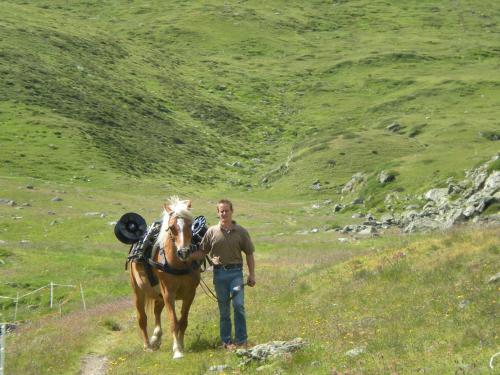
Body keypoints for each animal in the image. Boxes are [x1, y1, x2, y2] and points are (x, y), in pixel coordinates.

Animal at [129, 197, 201, 358]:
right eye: (172, 227)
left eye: (190, 225)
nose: (184, 252)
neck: (179, 264)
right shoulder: (169, 294)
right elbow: (173, 321)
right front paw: (177, 351)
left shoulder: (190, 294)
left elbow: (183, 321)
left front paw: (182, 345)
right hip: (138, 291)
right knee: (142, 318)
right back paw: (148, 345)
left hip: (159, 295)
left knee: (156, 311)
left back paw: (156, 337)